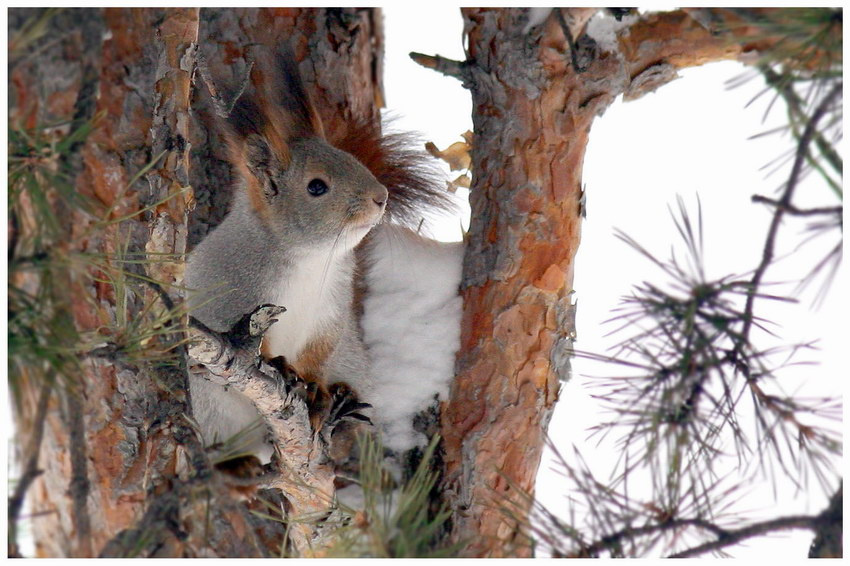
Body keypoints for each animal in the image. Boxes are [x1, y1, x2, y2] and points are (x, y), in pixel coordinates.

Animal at [185, 47, 454, 464]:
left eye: (349, 157)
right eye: (316, 187)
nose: (380, 197)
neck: (310, 260)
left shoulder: (331, 309)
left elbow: (319, 352)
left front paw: (314, 389)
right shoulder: (234, 297)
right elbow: (256, 346)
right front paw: (280, 367)